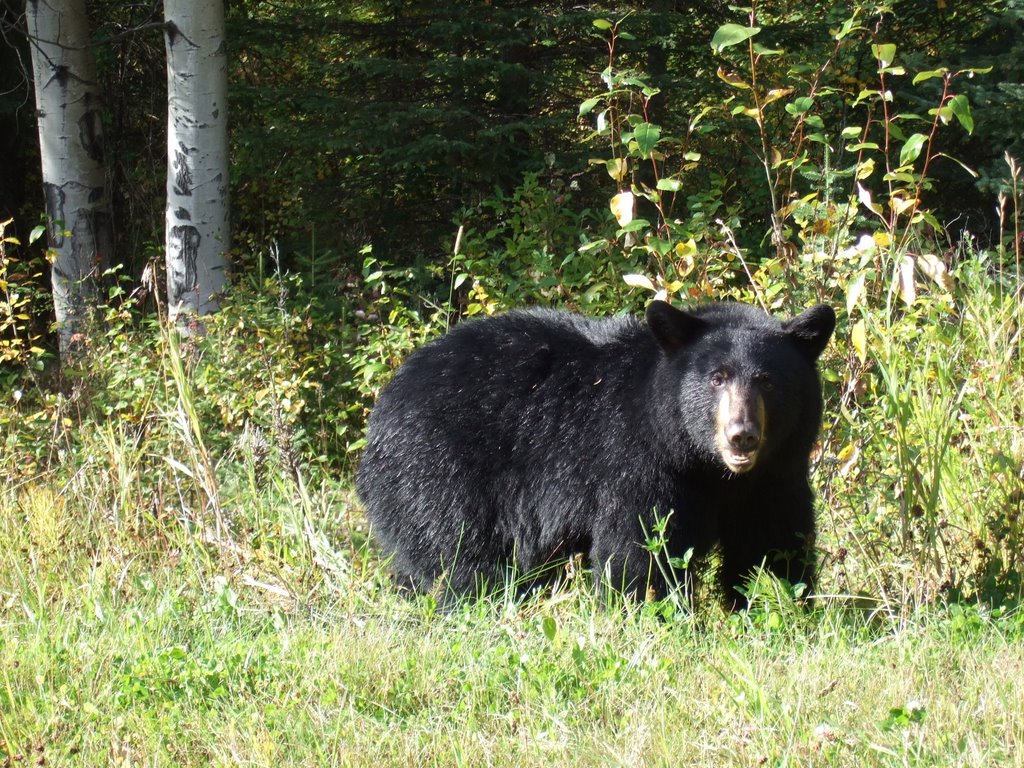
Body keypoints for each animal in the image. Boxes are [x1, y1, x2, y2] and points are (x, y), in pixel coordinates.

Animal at [356, 301, 835, 606]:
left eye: (768, 380)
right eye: (717, 378)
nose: (742, 437)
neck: (708, 469)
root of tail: (386, 400)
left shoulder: (776, 473)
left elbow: (772, 542)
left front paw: (781, 604)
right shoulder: (638, 461)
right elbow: (640, 548)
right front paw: (650, 613)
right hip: (436, 467)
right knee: (455, 552)